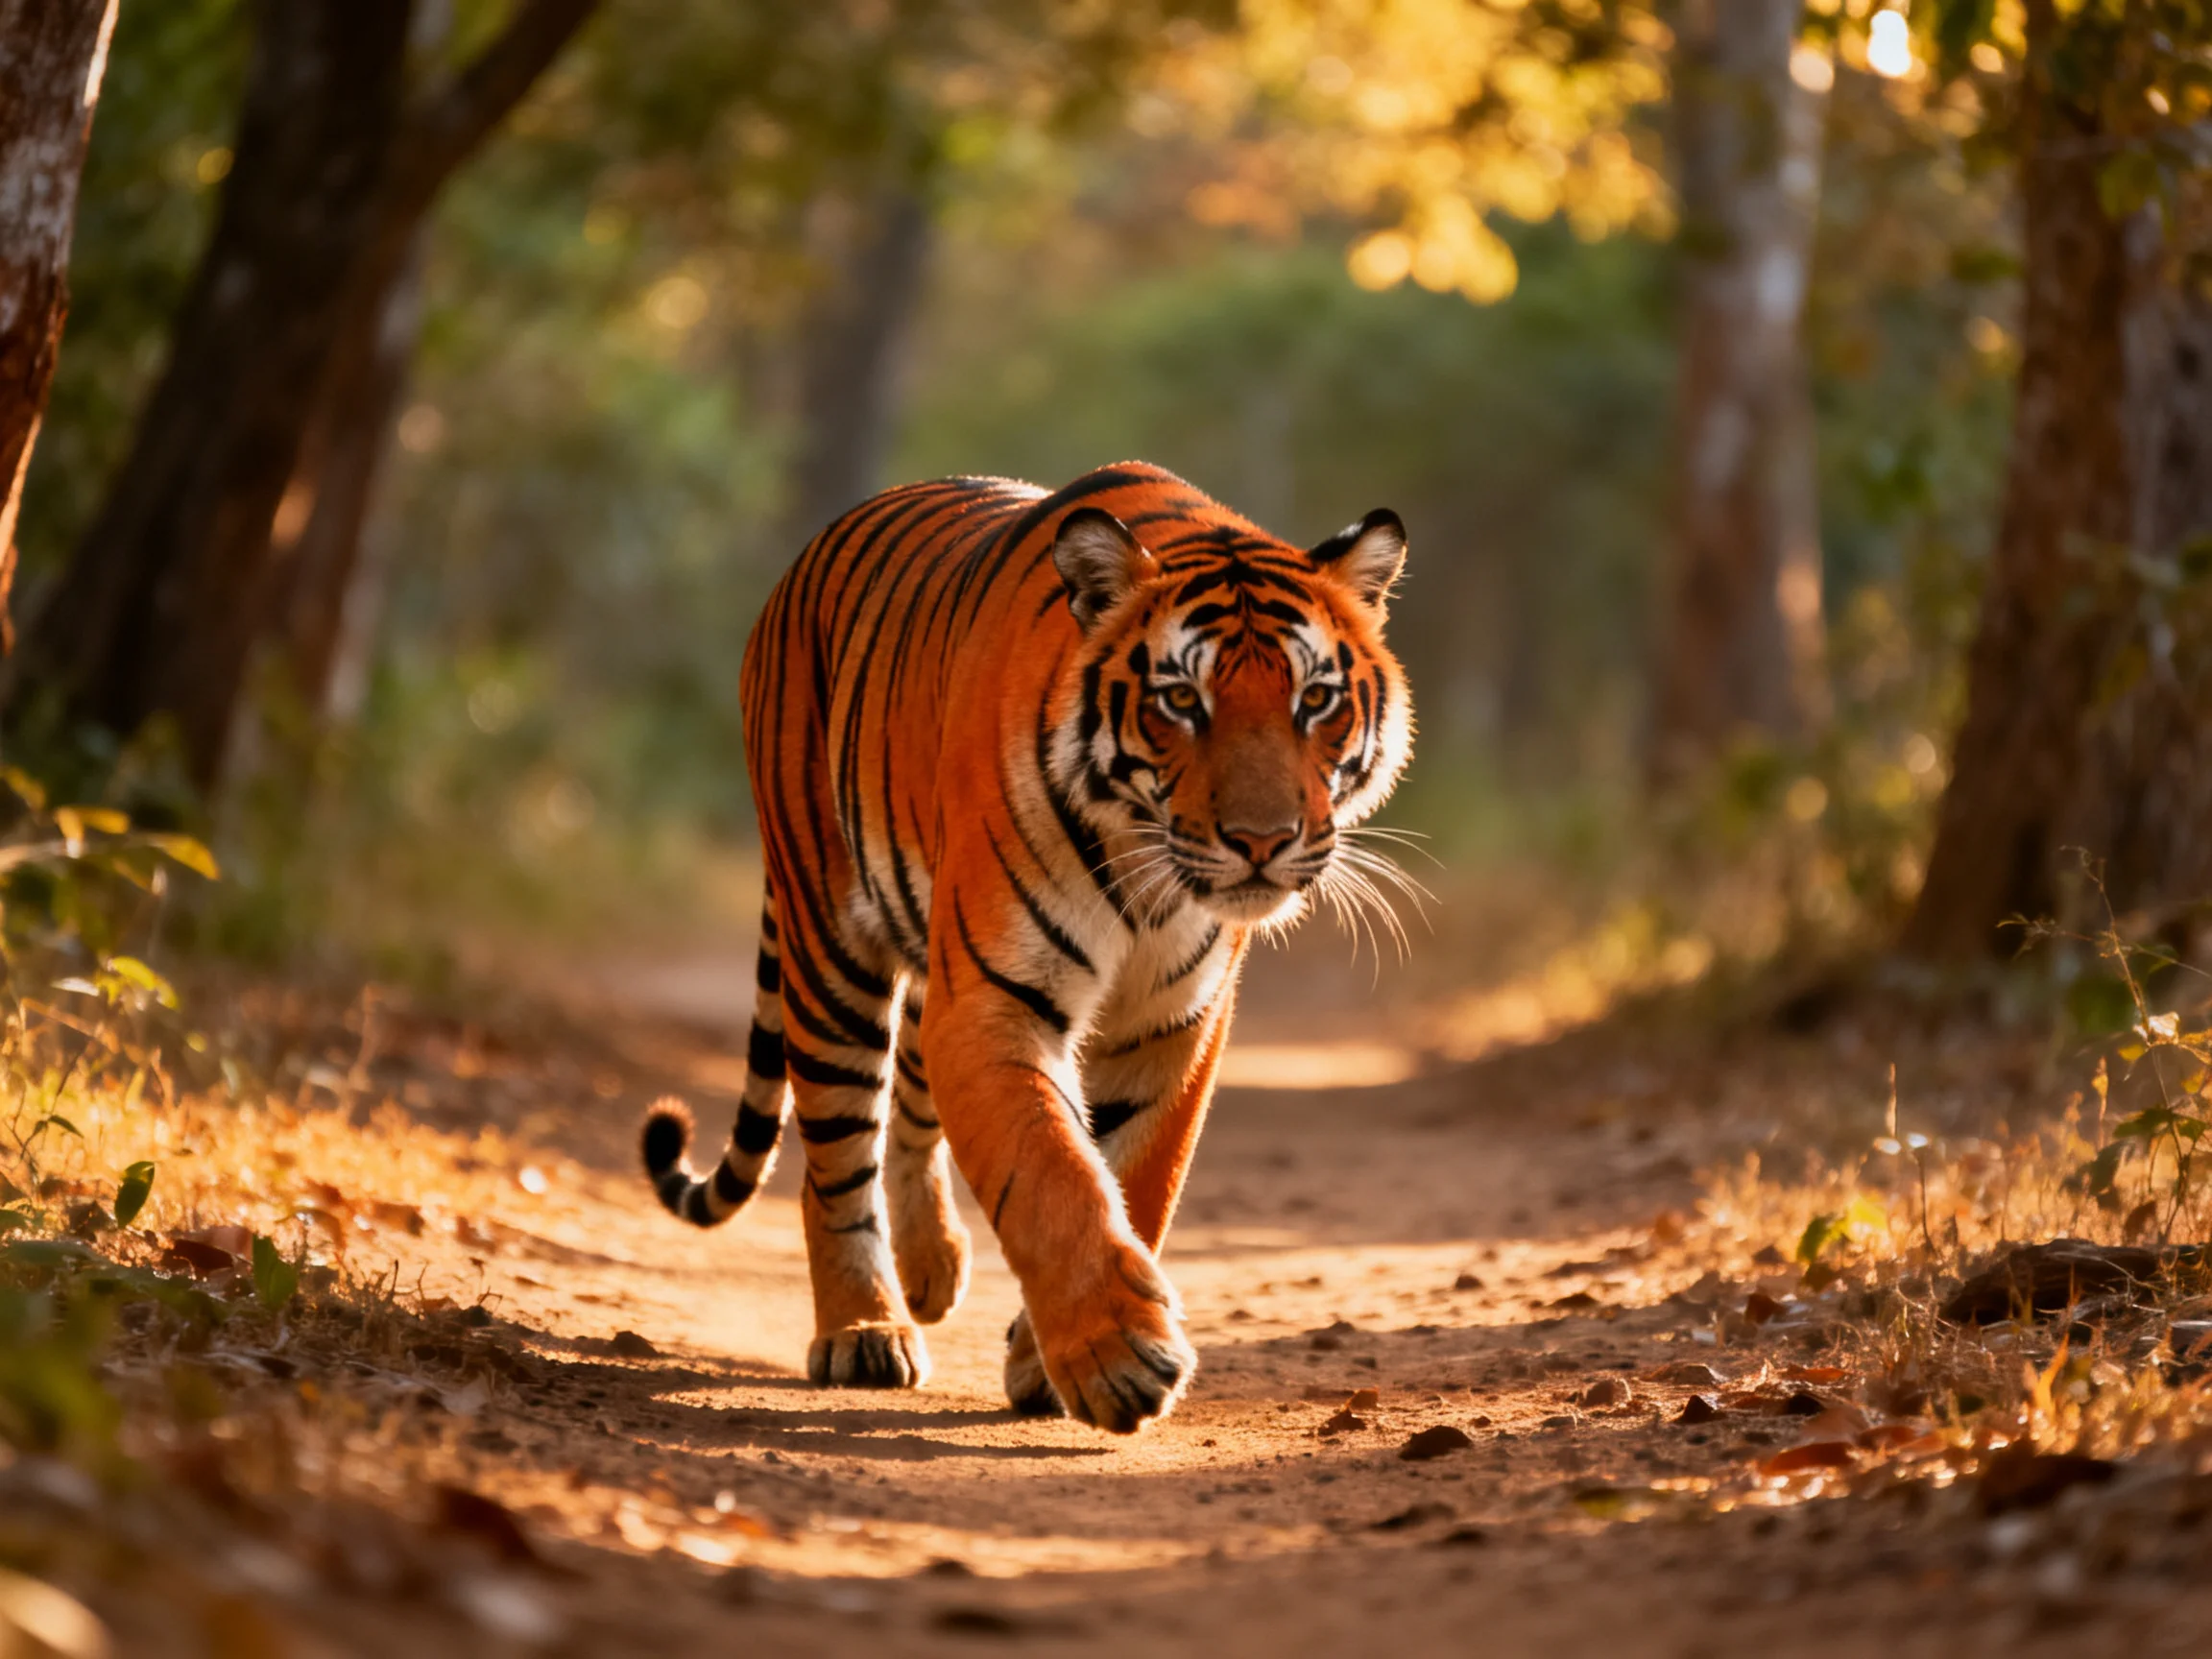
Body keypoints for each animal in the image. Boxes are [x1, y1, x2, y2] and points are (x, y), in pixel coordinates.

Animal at [641, 461, 1413, 1433]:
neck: (1146, 873)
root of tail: (799, 565)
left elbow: (1136, 1178)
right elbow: (1052, 1174)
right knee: (835, 1155)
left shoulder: (1173, 1023)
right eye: (1180, 701)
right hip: (828, 944)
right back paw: (864, 1330)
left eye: (1315, 700)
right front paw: (1120, 1360)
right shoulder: (994, 1001)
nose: (1262, 841)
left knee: (911, 1102)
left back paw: (932, 1269)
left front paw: (1046, 1361)